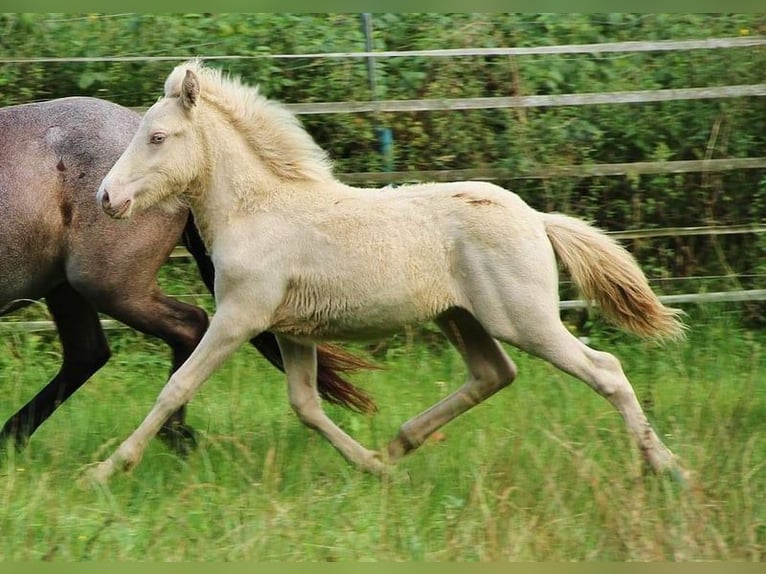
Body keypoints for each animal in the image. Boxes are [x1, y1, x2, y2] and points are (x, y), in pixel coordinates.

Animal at [91, 60, 687, 482]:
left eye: (157, 137)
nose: (106, 198)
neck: (258, 210)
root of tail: (537, 219)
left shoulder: (240, 316)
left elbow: (177, 386)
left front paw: (105, 469)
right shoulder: (291, 330)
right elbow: (306, 404)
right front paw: (373, 467)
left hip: (523, 319)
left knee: (605, 370)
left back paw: (668, 468)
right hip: (462, 317)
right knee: (493, 374)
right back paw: (399, 444)